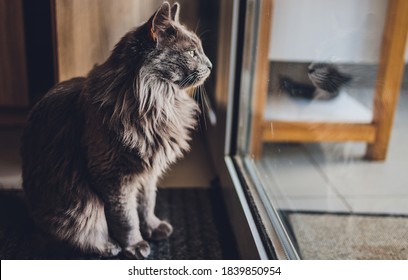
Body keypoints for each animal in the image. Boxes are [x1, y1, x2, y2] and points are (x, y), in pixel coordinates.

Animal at [20, 1, 212, 260]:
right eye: (192, 53)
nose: (211, 65)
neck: (156, 104)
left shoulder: (148, 173)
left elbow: (147, 204)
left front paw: (152, 228)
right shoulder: (114, 178)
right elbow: (126, 218)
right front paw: (136, 245)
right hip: (74, 207)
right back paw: (108, 246)